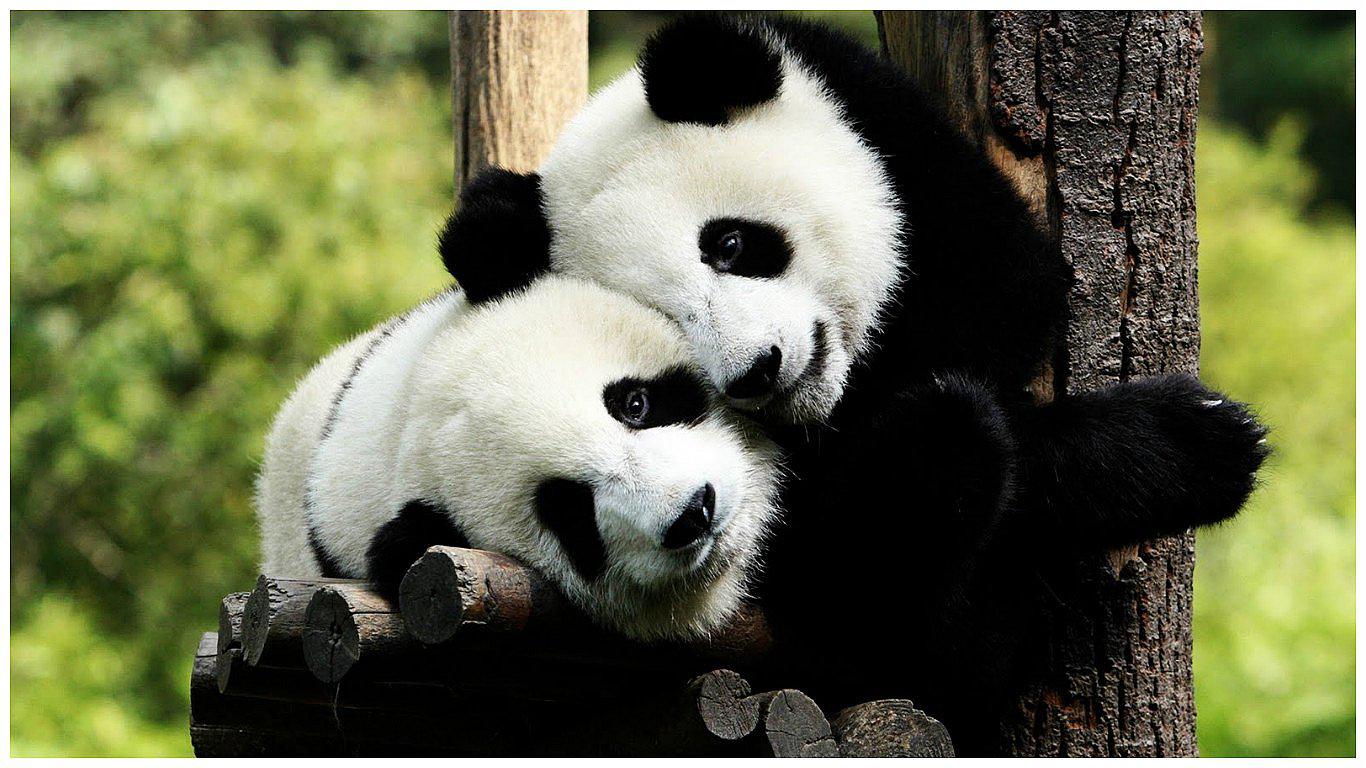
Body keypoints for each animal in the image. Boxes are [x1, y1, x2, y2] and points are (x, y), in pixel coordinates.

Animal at [437, 12, 1270, 732]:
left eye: (730, 245)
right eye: (666, 320)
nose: (758, 371)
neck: (838, 393)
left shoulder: (897, 147)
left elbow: (1007, 295)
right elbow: (854, 567)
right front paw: (1191, 445)